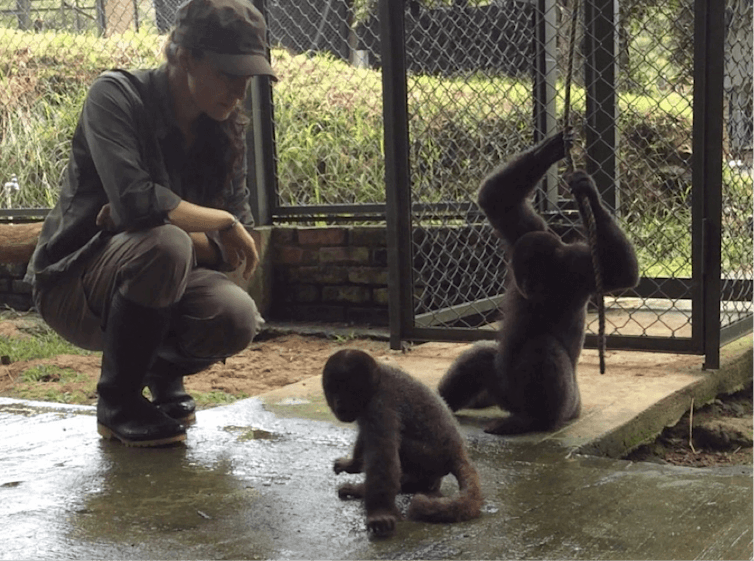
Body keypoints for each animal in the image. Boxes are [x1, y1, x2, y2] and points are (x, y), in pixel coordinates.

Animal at [320, 348, 478, 536]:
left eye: (349, 390)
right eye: (334, 389)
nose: (339, 402)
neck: (376, 382)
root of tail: (458, 450)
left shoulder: (379, 405)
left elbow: (383, 456)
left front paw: (379, 514)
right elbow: (365, 437)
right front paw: (352, 464)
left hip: (433, 457)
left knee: (401, 446)